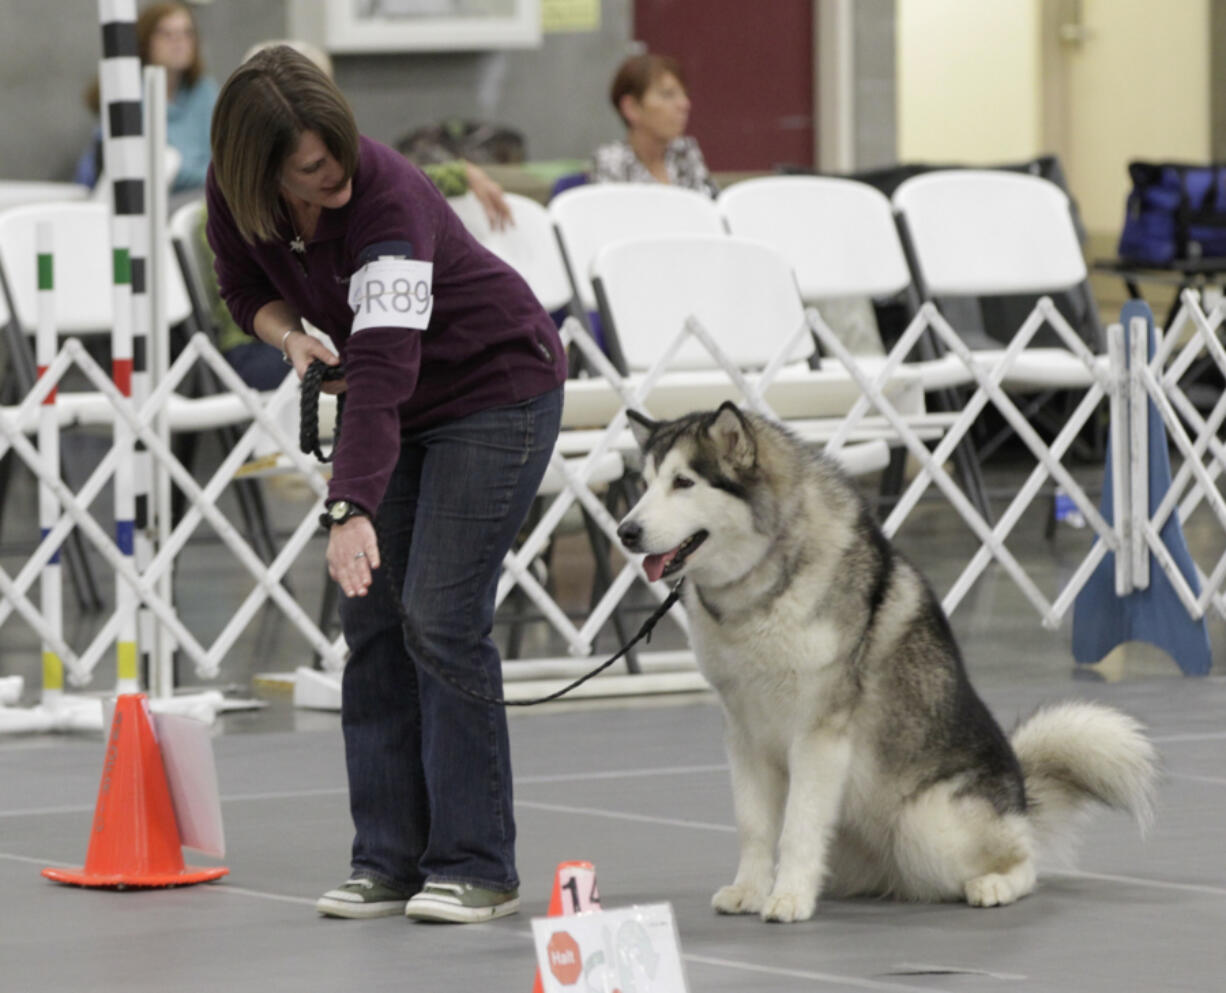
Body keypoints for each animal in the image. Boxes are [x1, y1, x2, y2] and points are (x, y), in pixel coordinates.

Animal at [617, 402, 1152, 921]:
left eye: (684, 482)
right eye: (644, 485)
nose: (626, 531)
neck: (762, 589)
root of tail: (1020, 797)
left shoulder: (818, 734)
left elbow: (798, 827)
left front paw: (787, 898)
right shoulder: (743, 733)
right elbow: (755, 825)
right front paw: (749, 890)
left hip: (926, 824)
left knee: (1026, 860)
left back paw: (995, 884)